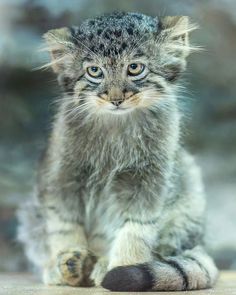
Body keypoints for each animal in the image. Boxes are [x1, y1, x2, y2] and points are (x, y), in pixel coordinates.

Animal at [17, 12, 218, 294]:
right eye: (94, 71)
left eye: (134, 68)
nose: (115, 99)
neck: (116, 129)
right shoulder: (62, 177)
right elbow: (64, 225)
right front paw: (68, 259)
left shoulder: (148, 181)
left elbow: (134, 231)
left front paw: (121, 266)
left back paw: (102, 264)